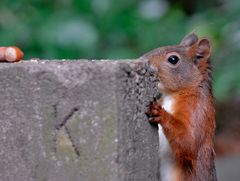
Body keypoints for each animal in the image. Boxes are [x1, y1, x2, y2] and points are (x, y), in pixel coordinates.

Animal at [144, 33, 218, 181]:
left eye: (173, 59)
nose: (142, 60)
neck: (171, 95)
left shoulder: (198, 110)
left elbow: (189, 141)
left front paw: (159, 113)